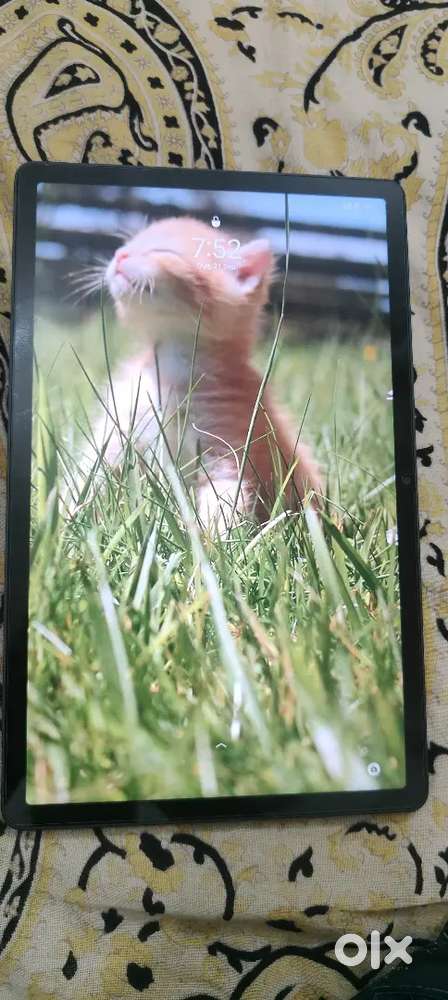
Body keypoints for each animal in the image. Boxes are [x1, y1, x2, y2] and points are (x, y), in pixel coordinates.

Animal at [89, 215, 321, 531]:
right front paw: (62, 516)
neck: (168, 368)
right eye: (127, 244)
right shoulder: (121, 420)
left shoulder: (228, 438)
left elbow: (224, 495)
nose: (120, 255)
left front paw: (213, 542)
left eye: (163, 251)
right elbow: (90, 469)